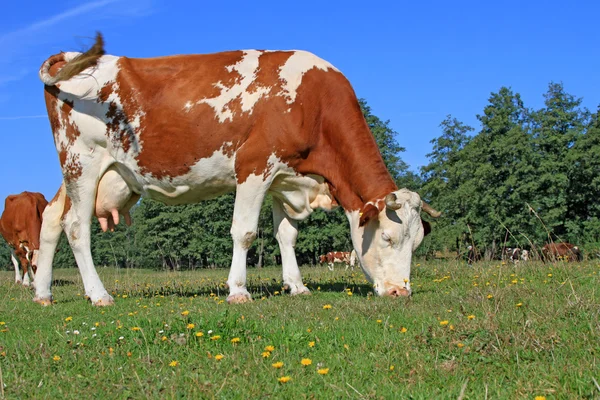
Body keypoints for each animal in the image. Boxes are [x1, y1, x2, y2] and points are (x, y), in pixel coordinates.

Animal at [36, 33, 440, 306]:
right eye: (387, 238)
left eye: (417, 242)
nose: (400, 291)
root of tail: (73, 57)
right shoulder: (255, 166)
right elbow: (244, 232)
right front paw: (238, 290)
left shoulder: (284, 178)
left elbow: (286, 236)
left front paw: (297, 286)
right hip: (83, 162)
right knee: (77, 227)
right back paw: (98, 294)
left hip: (80, 172)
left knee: (53, 218)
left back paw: (42, 293)